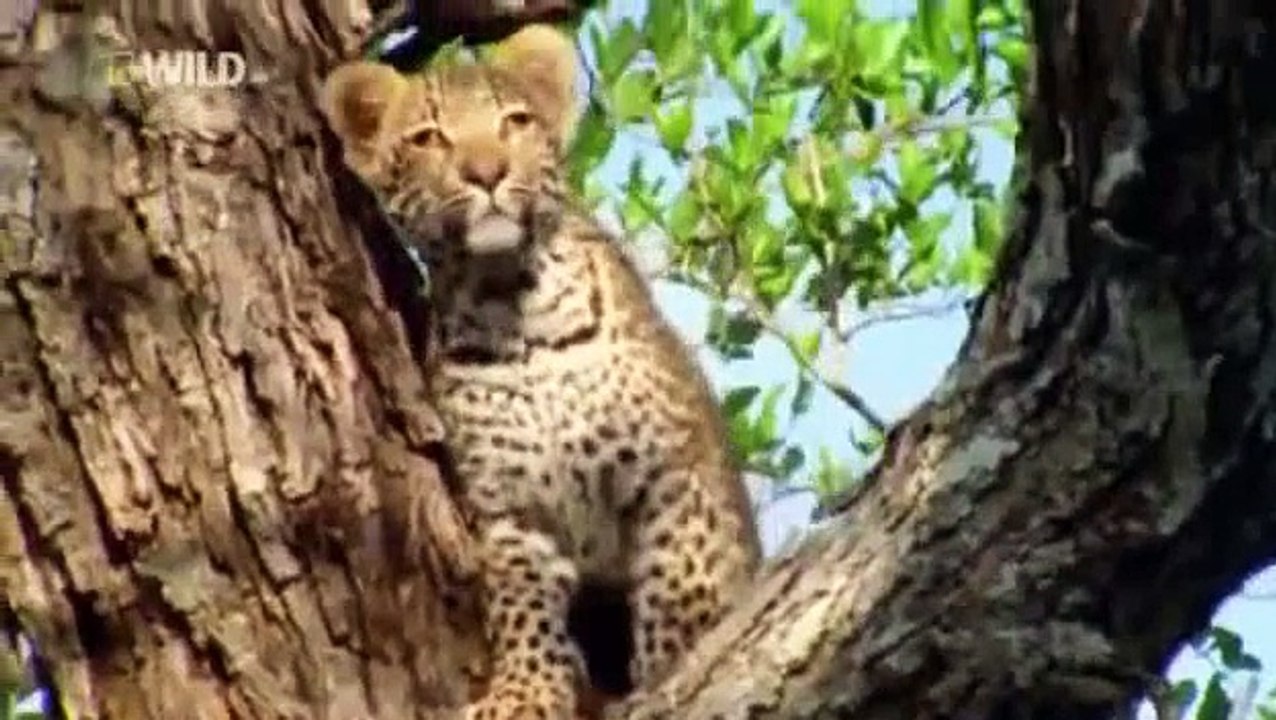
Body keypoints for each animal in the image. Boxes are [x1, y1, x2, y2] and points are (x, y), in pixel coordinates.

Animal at [322, 24, 762, 719]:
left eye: (516, 122)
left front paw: (672, 669)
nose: (486, 173)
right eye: (427, 138)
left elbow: (680, 590)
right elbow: (522, 606)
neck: (512, 307)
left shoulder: (677, 474)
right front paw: (523, 695)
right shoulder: (513, 512)